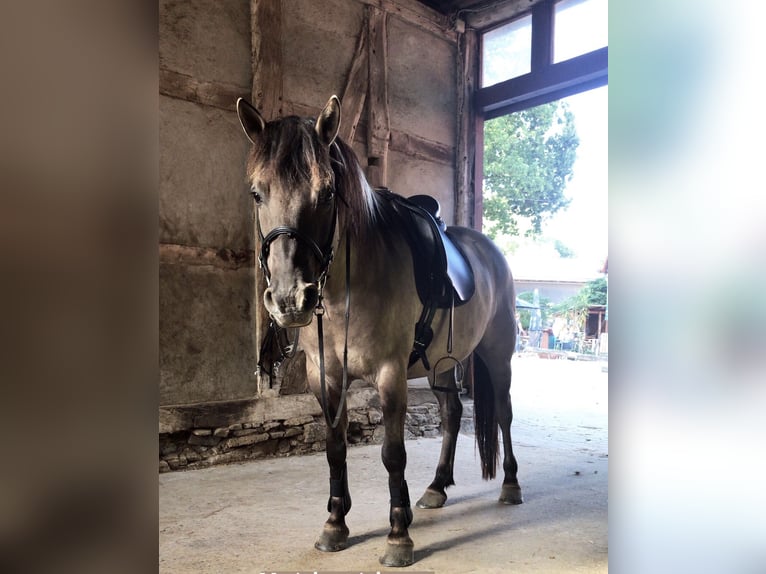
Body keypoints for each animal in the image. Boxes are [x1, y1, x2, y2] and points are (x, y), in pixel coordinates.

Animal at [234, 97, 524, 568]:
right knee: (451, 415)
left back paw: (511, 485)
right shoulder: (324, 377)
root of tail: (491, 251)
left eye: (326, 193)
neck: (349, 290)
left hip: (497, 356)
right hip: (441, 365)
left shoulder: (390, 376)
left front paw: (398, 536)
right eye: (257, 193)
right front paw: (335, 525)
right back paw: (436, 487)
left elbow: (393, 453)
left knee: (502, 414)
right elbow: (335, 448)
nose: (291, 299)